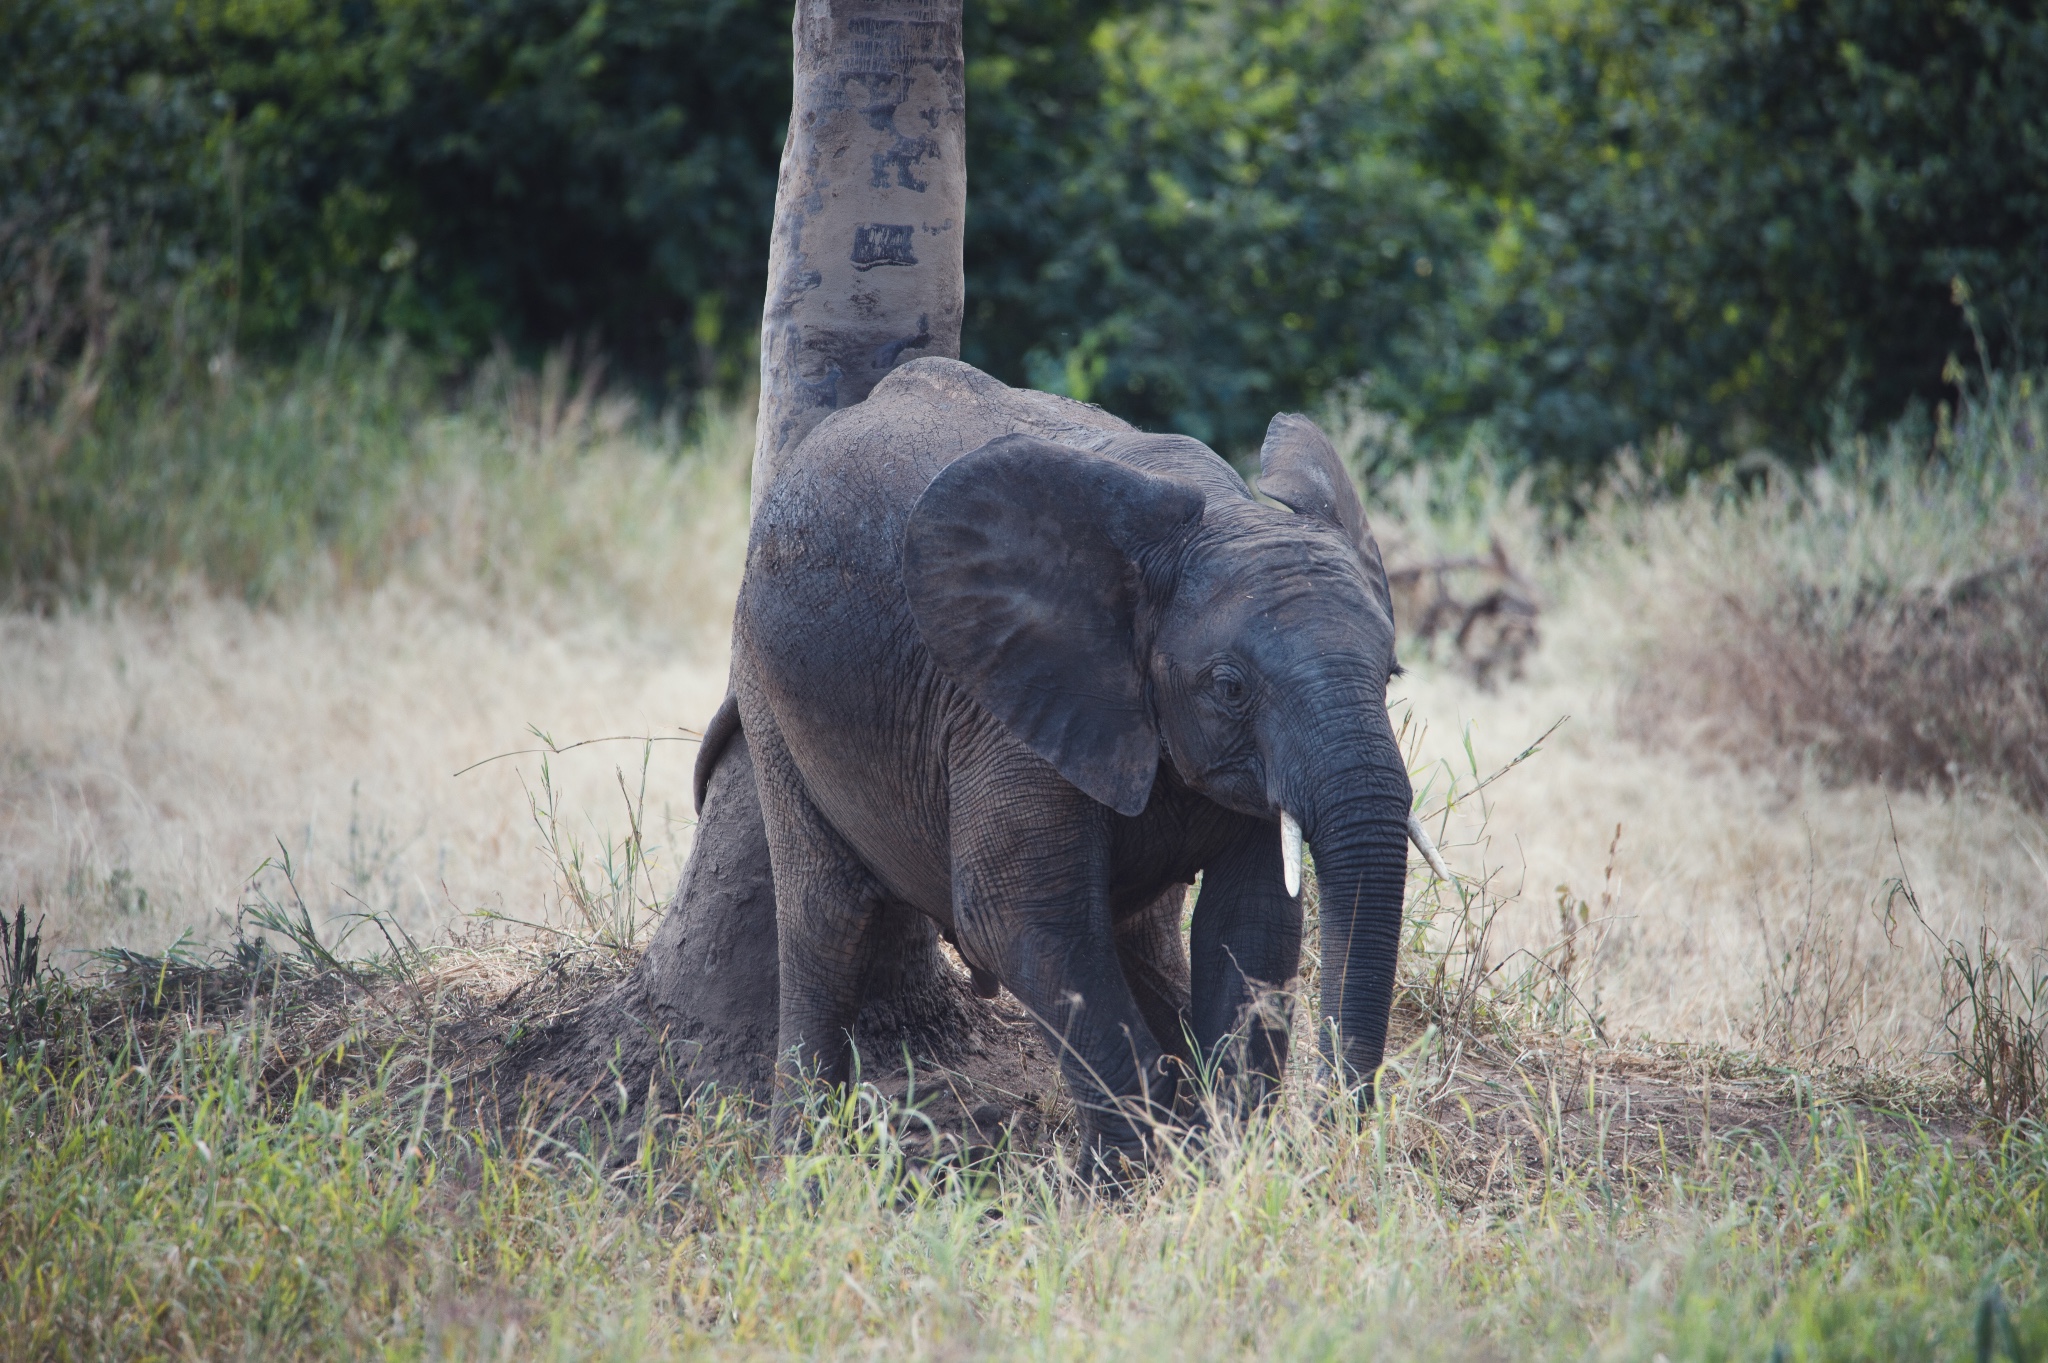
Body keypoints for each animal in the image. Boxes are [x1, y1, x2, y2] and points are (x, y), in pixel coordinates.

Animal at [729, 352, 1449, 1154]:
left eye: (1389, 674)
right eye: (1229, 687)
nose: (1337, 1126)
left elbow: (1252, 919)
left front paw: (1221, 1152)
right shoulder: (1005, 703)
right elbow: (1023, 918)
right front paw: (1139, 1168)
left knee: (1144, 935)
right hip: (765, 677)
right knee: (826, 921)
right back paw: (800, 1156)